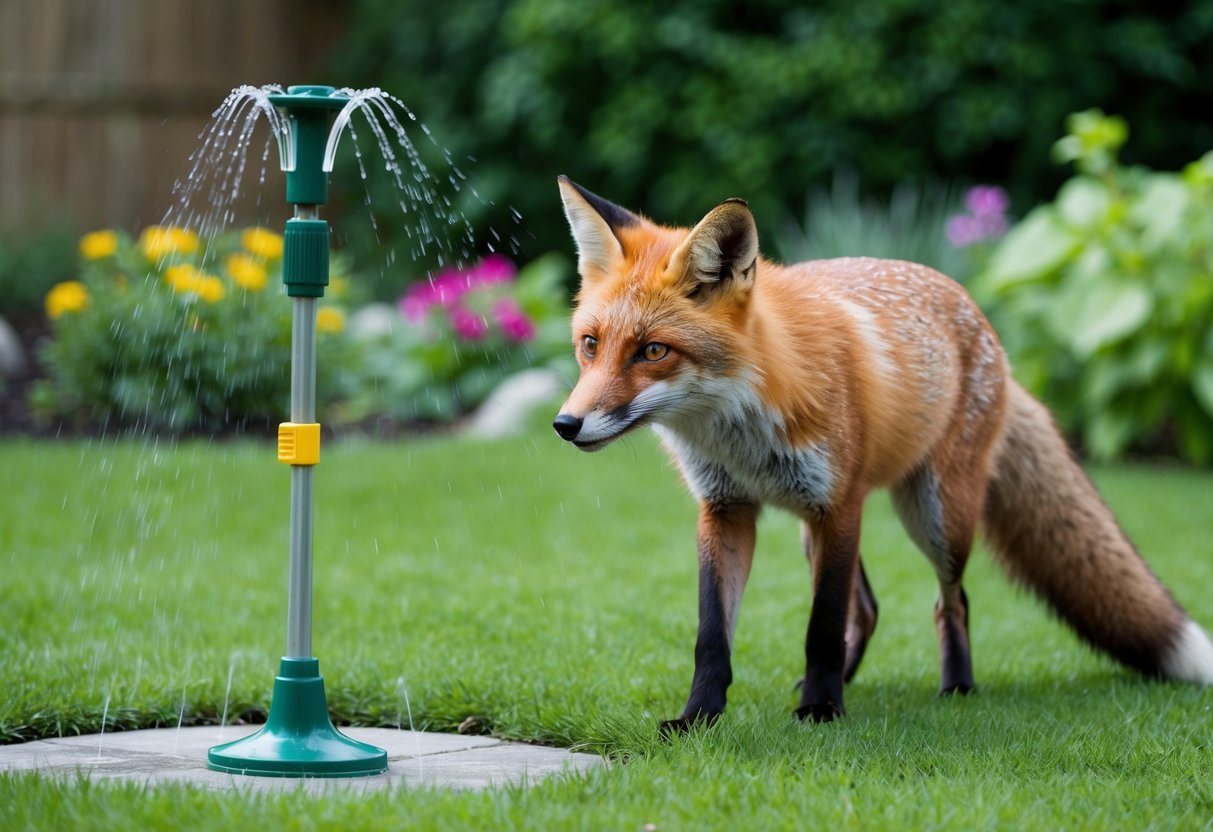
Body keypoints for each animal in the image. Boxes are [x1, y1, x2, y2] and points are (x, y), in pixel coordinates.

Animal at [551, 175, 1213, 730]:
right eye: (590, 345)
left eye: (652, 352)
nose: (565, 424)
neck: (741, 428)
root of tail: (987, 327)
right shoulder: (726, 511)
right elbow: (713, 636)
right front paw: (698, 719)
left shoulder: (838, 504)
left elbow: (821, 624)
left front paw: (821, 712)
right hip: (818, 526)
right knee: (866, 610)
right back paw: (838, 682)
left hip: (935, 516)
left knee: (950, 601)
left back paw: (954, 687)